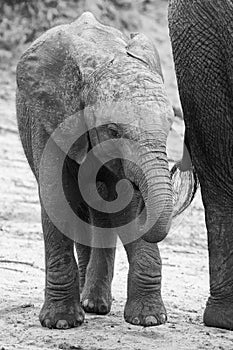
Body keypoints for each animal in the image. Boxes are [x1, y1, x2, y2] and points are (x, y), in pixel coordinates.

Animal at [16, 10, 178, 328]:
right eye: (113, 130)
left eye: (169, 127)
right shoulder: (52, 120)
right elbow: (58, 200)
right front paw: (61, 323)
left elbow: (123, 205)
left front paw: (150, 318)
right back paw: (87, 303)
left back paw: (95, 304)